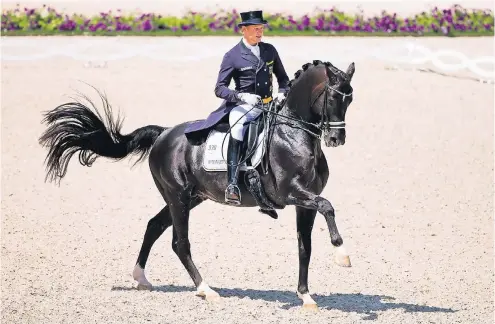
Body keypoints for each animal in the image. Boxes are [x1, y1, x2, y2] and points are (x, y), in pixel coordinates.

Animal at [38, 59, 356, 310]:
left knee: (154, 225)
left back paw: (141, 278)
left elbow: (305, 246)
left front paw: (306, 296)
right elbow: (328, 206)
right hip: (178, 196)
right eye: (332, 98)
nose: (336, 139)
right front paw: (342, 254)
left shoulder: (305, 201)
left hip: (189, 197)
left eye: (350, 100)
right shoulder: (291, 193)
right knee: (180, 243)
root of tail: (164, 133)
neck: (294, 133)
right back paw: (206, 290)